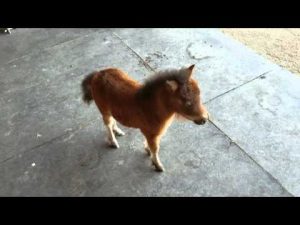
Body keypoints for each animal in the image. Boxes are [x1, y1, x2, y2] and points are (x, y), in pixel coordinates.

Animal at [81, 65, 210, 172]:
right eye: (188, 102)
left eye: (199, 95)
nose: (205, 119)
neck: (151, 106)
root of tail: (97, 74)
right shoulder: (151, 133)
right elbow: (155, 149)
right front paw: (158, 165)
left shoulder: (151, 133)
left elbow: (151, 146)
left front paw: (147, 150)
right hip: (104, 109)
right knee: (107, 123)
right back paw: (113, 142)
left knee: (112, 120)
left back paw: (118, 131)